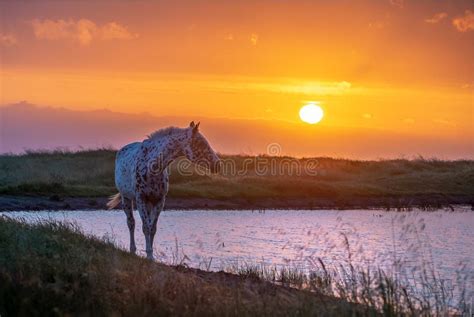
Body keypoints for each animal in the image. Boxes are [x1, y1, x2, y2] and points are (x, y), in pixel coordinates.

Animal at [106, 121, 221, 260]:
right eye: (200, 143)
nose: (218, 165)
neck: (152, 165)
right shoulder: (141, 199)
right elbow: (145, 227)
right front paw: (149, 254)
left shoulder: (159, 200)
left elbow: (152, 228)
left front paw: (151, 255)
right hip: (127, 198)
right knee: (131, 223)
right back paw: (132, 249)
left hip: (149, 203)